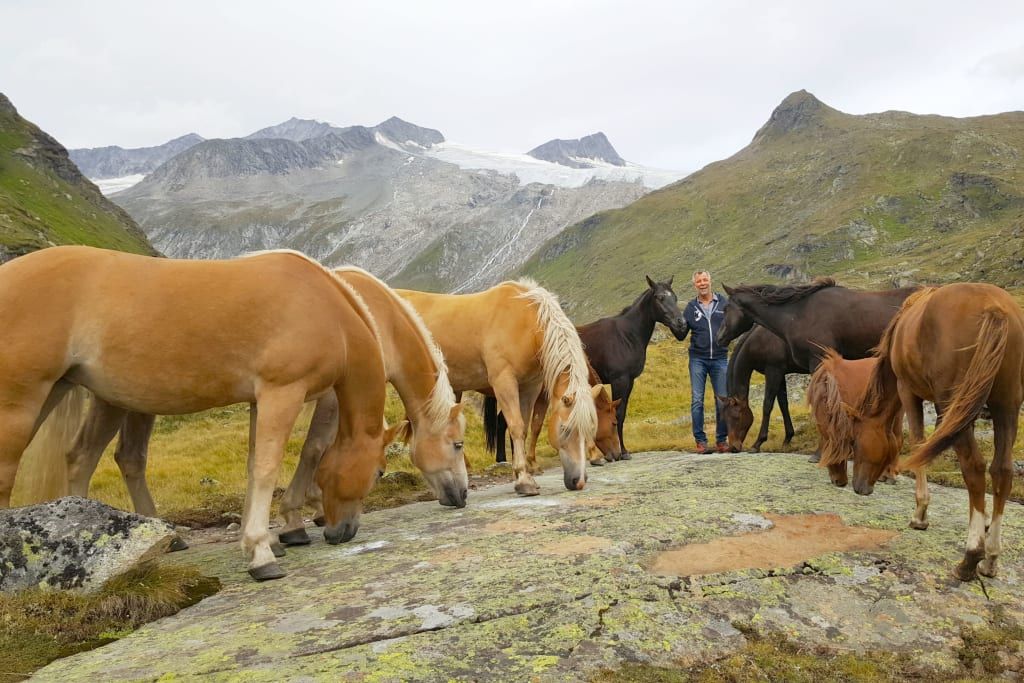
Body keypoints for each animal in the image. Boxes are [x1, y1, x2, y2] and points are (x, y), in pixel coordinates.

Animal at [0, 246, 390, 581]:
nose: (342, 532)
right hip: (22, 401)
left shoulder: (258, 401)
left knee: (82, 458)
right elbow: (266, 469)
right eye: (379, 472)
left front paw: (257, 544)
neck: (323, 306)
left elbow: (252, 466)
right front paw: (262, 554)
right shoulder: (282, 393)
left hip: (65, 392)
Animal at [58, 266, 470, 548]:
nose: (463, 496)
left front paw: (311, 510)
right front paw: (294, 520)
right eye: (458, 444)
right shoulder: (331, 395)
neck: (373, 317)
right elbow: (314, 448)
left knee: (125, 457)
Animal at [397, 280, 598, 495]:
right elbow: (516, 426)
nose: (579, 481)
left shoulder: (529, 387)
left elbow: (523, 428)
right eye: (565, 428)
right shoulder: (504, 382)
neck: (525, 323)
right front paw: (524, 480)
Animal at [575, 276, 687, 456]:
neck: (626, 335)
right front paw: (622, 451)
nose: (681, 324)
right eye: (660, 297)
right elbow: (618, 414)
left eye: (675, 297)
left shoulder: (630, 381)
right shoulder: (619, 380)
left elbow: (623, 414)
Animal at [846, 284, 1024, 581]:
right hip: (1006, 405)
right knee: (1002, 471)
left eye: (856, 443)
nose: (858, 488)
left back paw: (971, 556)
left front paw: (920, 513)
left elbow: (915, 443)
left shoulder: (908, 391)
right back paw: (990, 558)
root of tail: (994, 308)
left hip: (956, 400)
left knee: (974, 467)